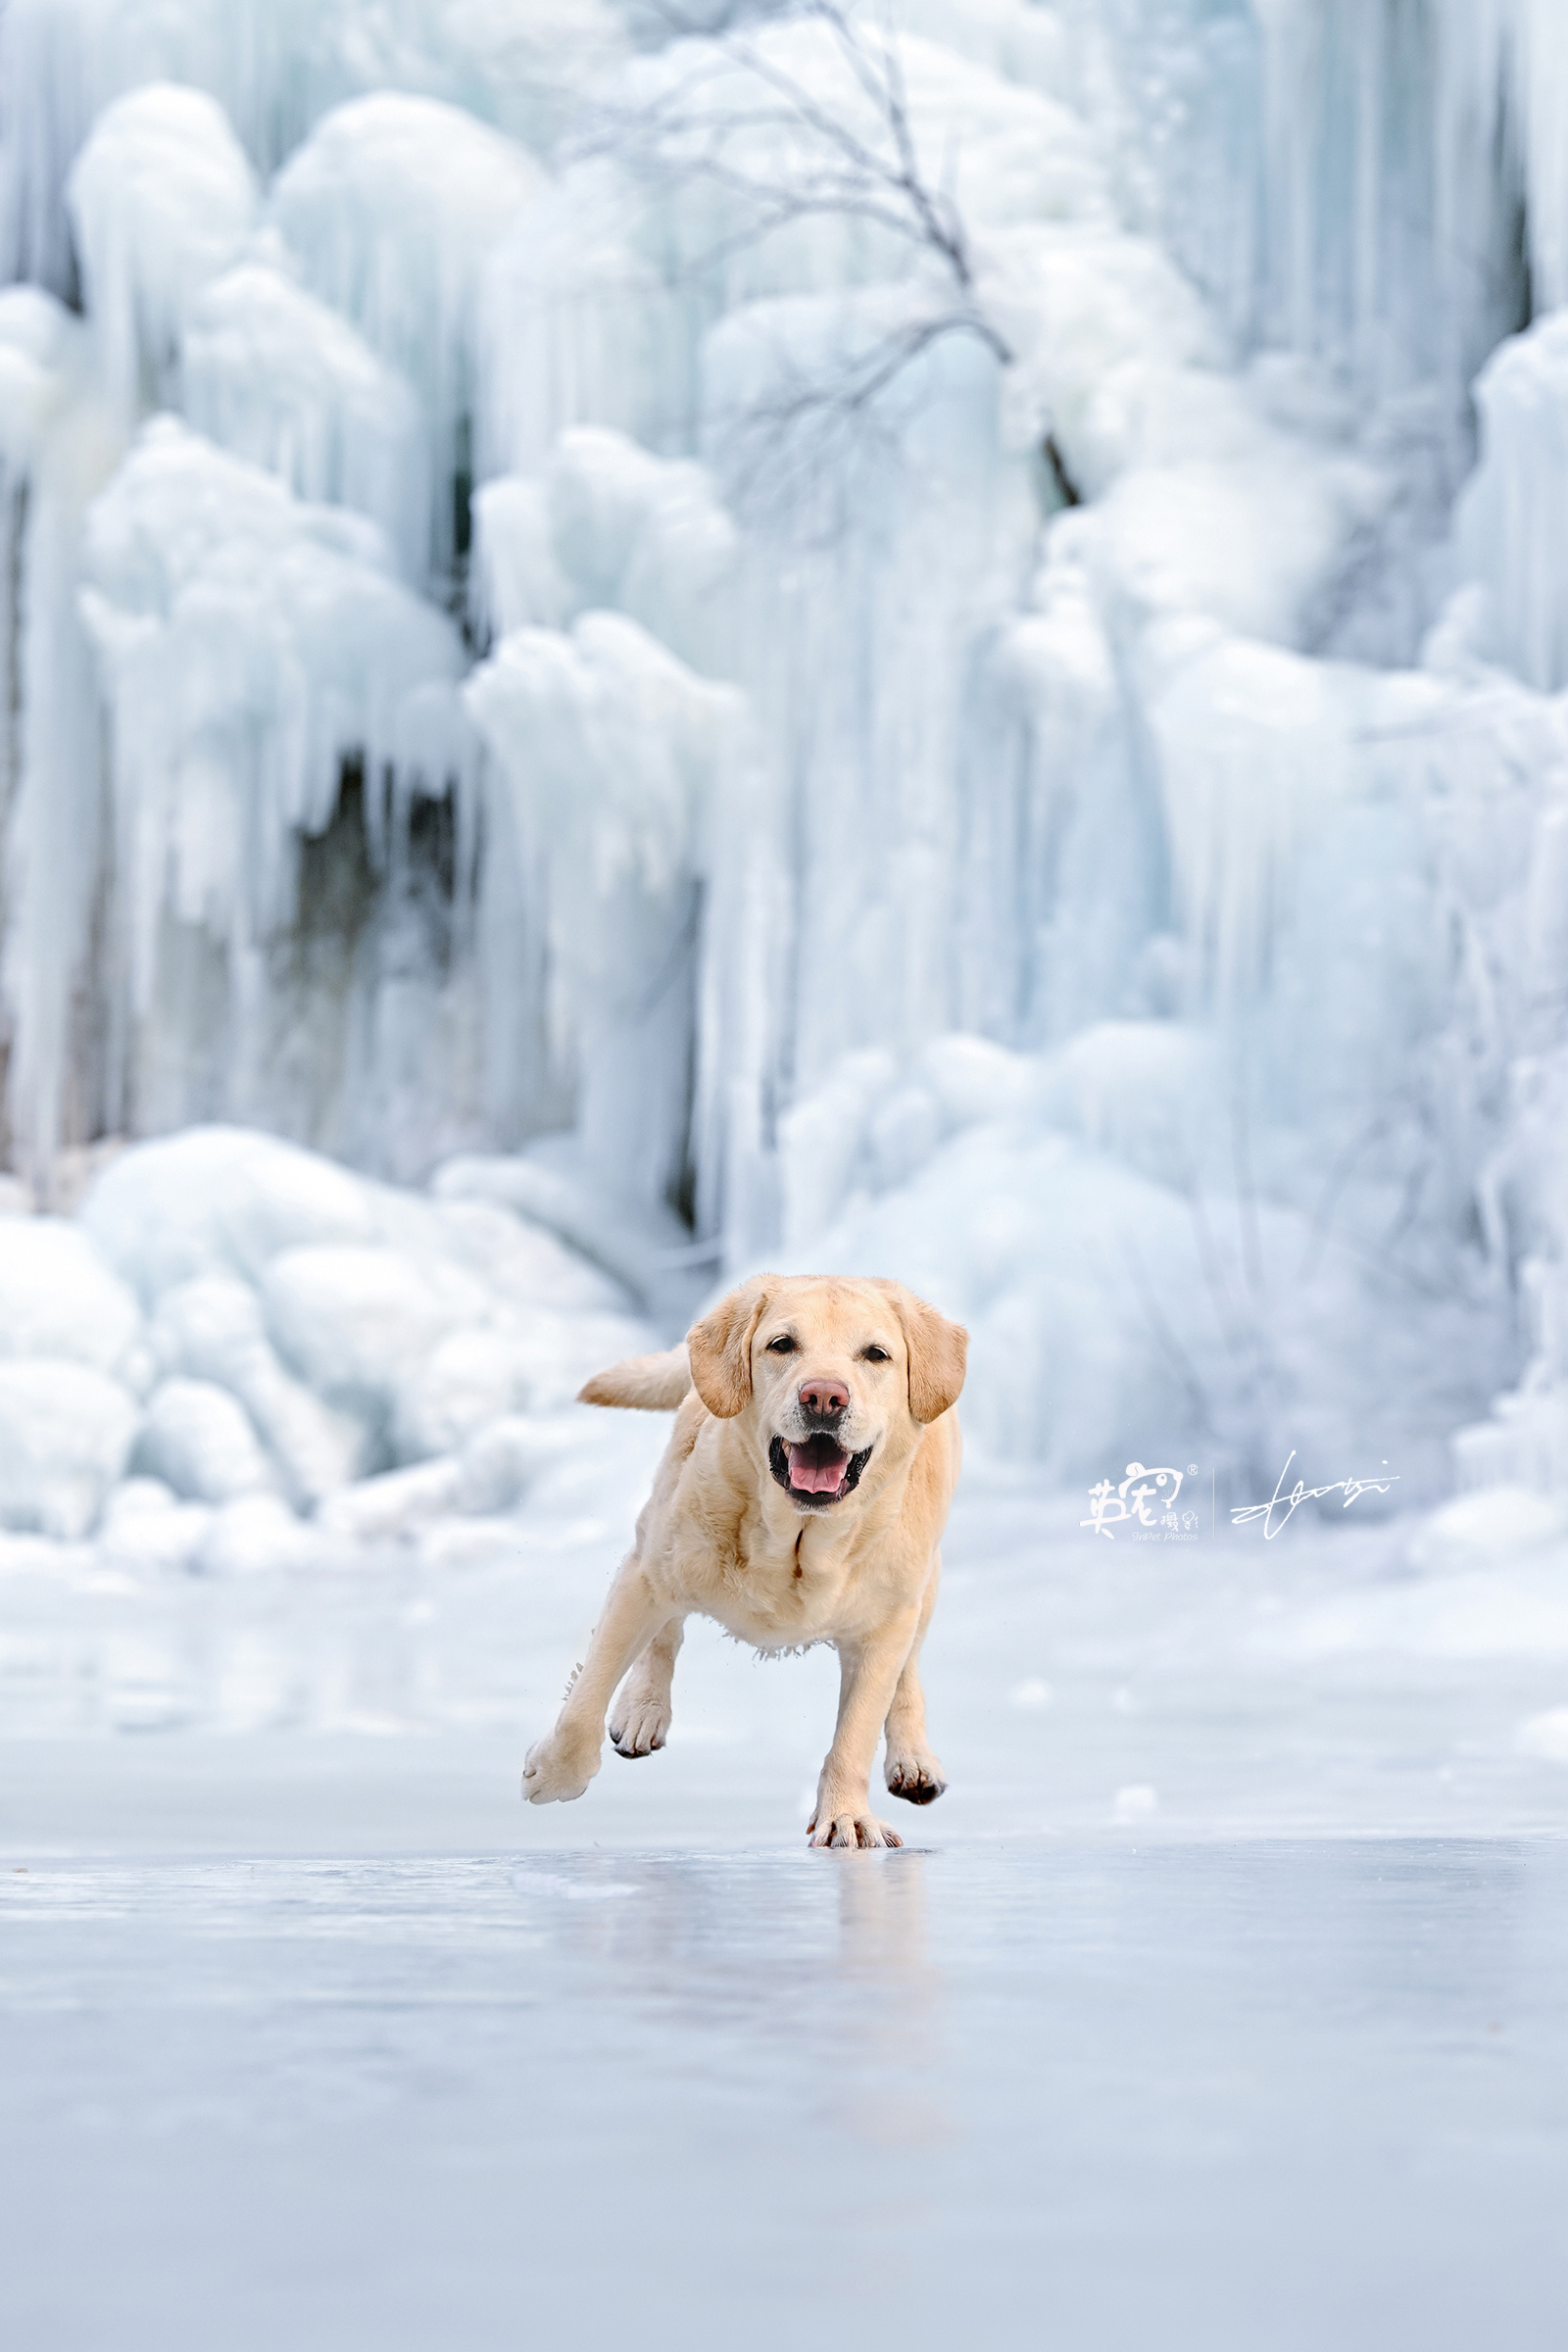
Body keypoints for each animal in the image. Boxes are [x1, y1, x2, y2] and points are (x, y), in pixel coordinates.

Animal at [526, 1279, 963, 1843]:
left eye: (876, 1354)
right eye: (782, 1344)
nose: (824, 1396)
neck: (796, 1545)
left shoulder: (882, 1632)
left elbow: (856, 1733)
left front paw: (845, 1816)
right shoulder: (648, 1574)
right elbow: (588, 1692)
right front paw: (555, 1775)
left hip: (922, 1587)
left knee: (906, 1674)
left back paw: (913, 1759)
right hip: (656, 1533)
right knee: (662, 1632)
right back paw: (643, 1708)